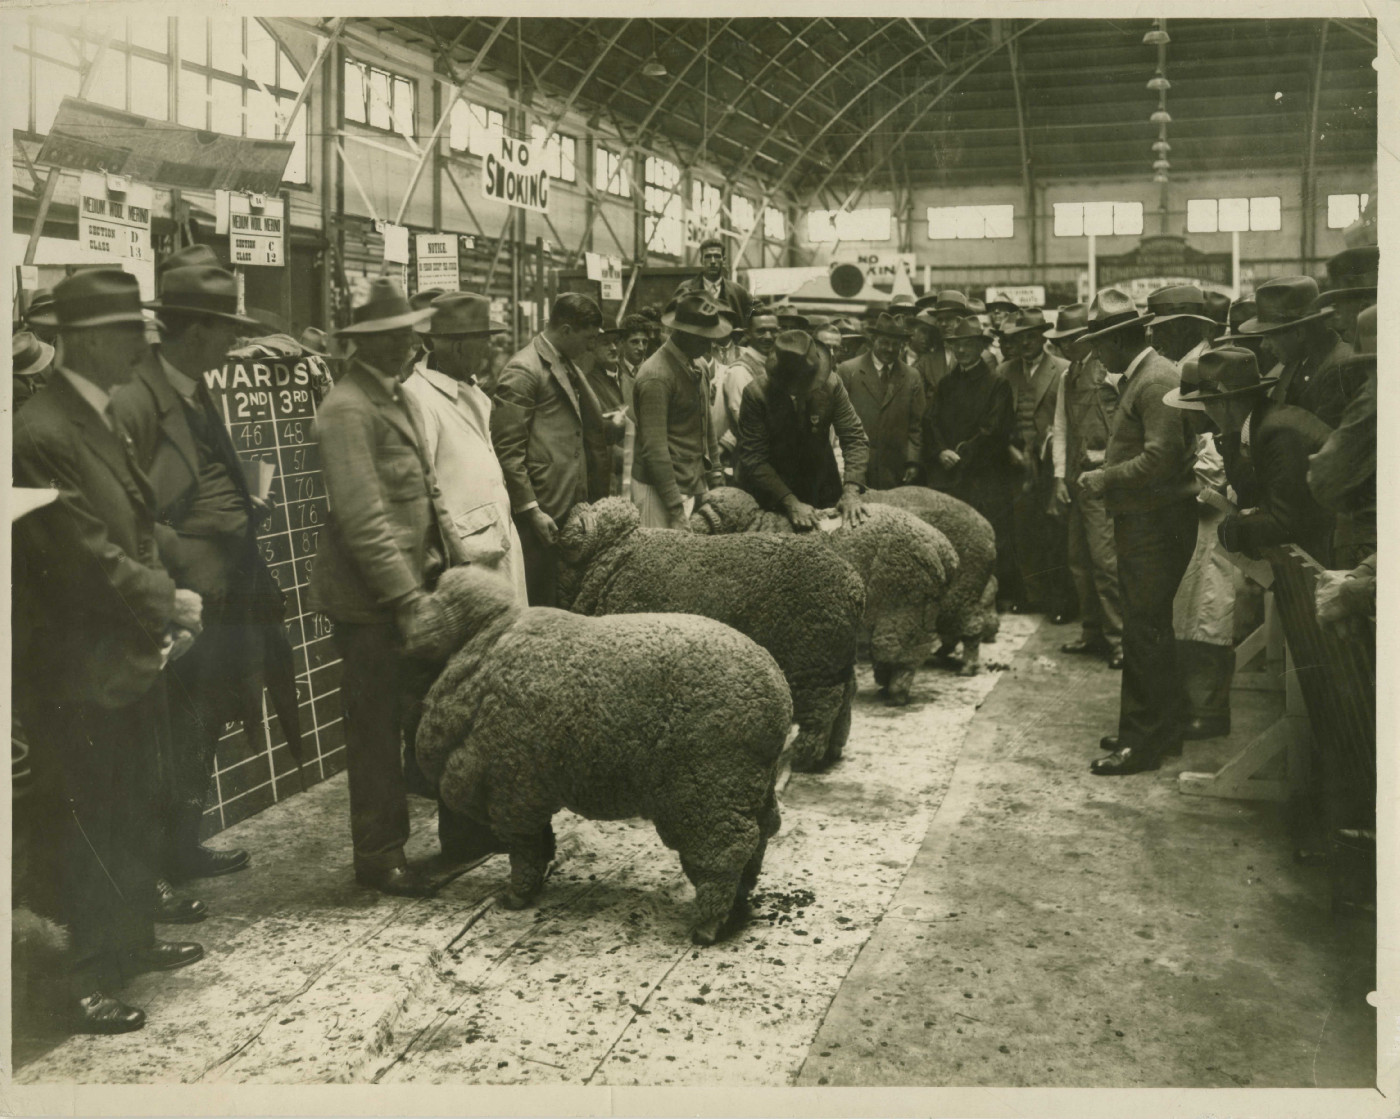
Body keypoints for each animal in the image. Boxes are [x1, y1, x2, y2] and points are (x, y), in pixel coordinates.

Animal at [410, 565, 793, 946]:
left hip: (710, 788)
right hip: (751, 786)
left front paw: (516, 896)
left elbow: (526, 851)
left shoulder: (513, 792)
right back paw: (738, 906)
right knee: (762, 834)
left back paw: (708, 926)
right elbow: (543, 844)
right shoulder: (528, 793)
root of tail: (778, 692)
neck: (485, 646)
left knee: (728, 849)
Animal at [555, 497, 864, 773]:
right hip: (837, 659)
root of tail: (854, 588)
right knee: (847, 697)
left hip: (814, 663)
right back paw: (833, 751)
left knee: (825, 709)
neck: (616, 556)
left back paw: (803, 758)